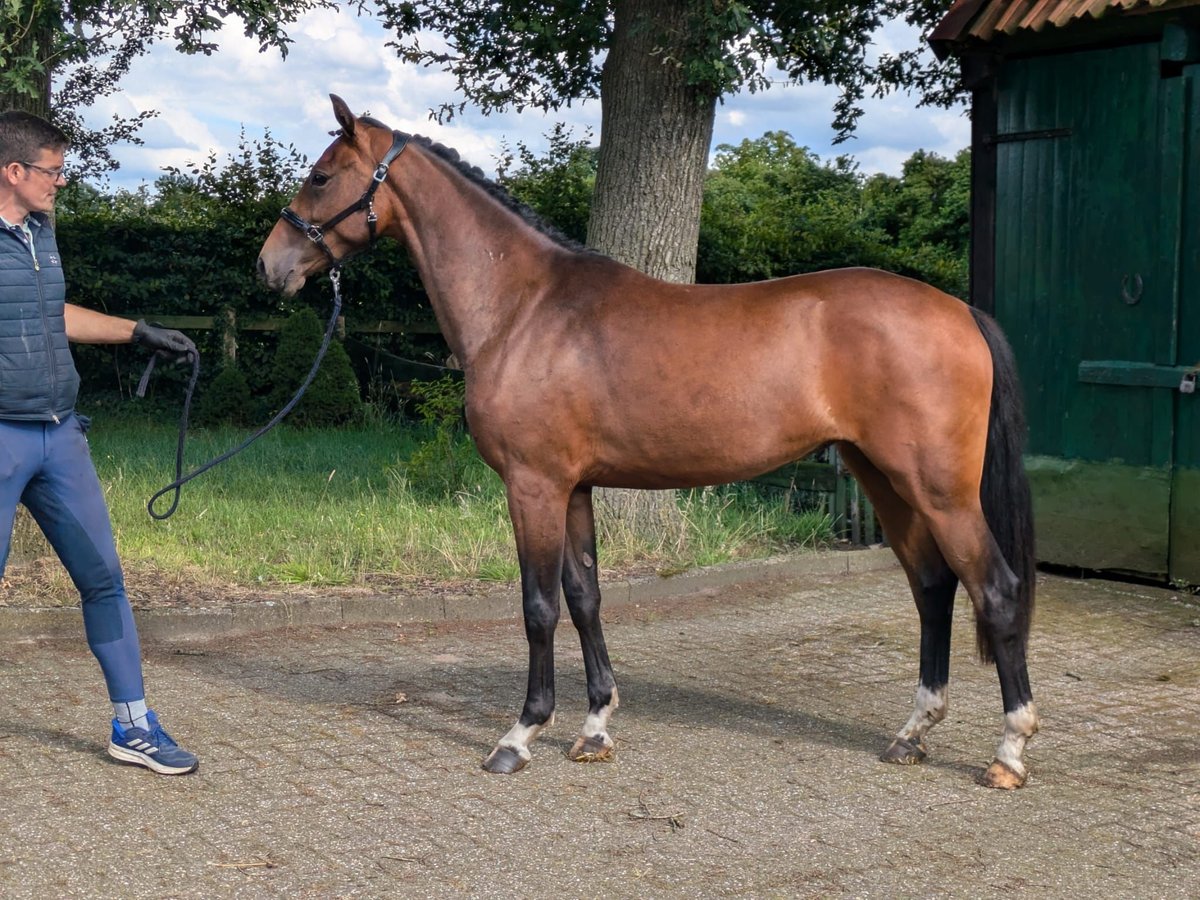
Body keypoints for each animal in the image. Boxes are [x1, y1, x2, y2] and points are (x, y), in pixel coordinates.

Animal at [255, 97, 1041, 787]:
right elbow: (585, 596)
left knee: (996, 591)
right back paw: (912, 734)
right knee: (933, 586)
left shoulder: (533, 484)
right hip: (883, 478)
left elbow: (538, 606)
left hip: (938, 490)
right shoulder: (573, 485)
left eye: (321, 175)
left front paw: (520, 735)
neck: (525, 308)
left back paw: (1008, 751)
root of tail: (960, 311)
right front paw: (595, 726)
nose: (270, 264)